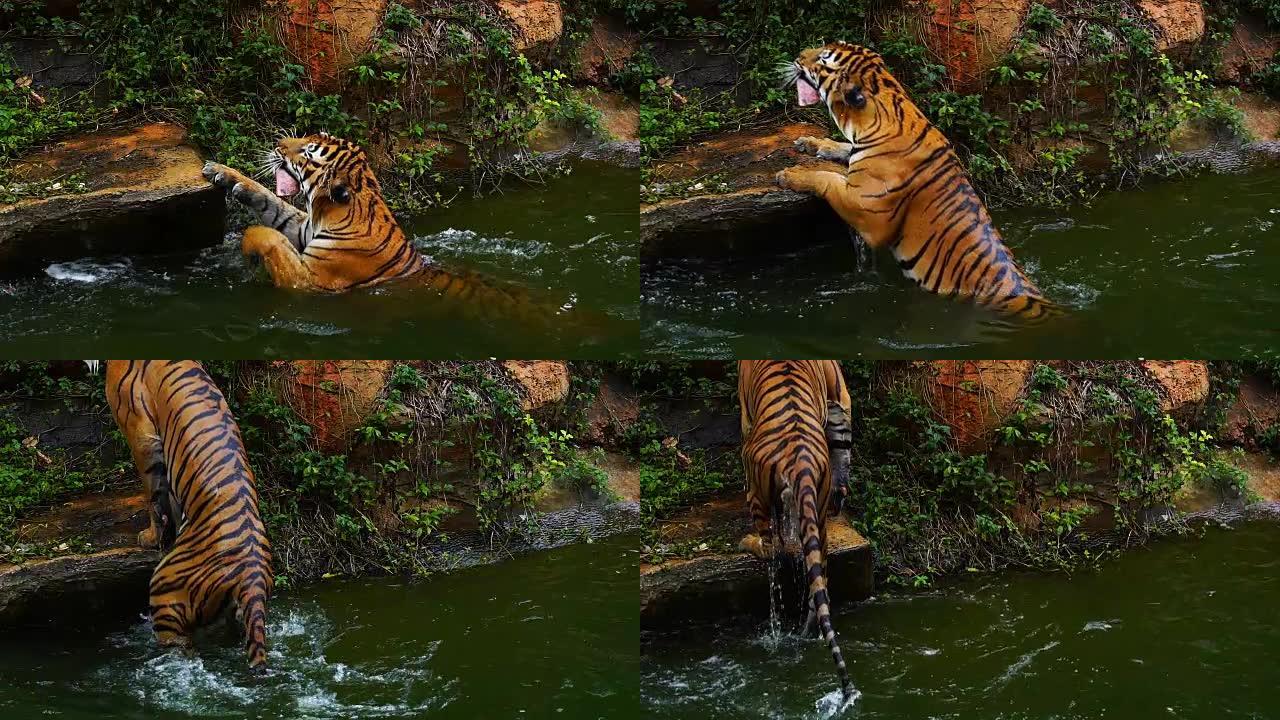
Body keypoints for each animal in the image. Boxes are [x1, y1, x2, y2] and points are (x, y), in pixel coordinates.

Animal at [106, 358, 273, 666]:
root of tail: (252, 574)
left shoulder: (140, 433)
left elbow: (153, 494)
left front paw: (150, 537)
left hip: (165, 593)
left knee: (179, 645)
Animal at [202, 133, 552, 324]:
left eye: (307, 151)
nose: (277, 142)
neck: (328, 212)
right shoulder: (302, 228)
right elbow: (271, 203)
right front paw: (222, 172)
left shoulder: (313, 282)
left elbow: (264, 235)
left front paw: (248, 253)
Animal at [742, 356, 849, 696]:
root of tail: (800, 458)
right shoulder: (839, 392)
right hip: (818, 510)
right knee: (820, 579)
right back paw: (806, 632)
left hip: (757, 492)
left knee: (771, 554)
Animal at [768, 39, 1059, 319]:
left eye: (822, 57)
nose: (798, 55)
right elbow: (841, 149)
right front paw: (810, 142)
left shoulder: (865, 210)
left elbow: (826, 177)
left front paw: (791, 174)